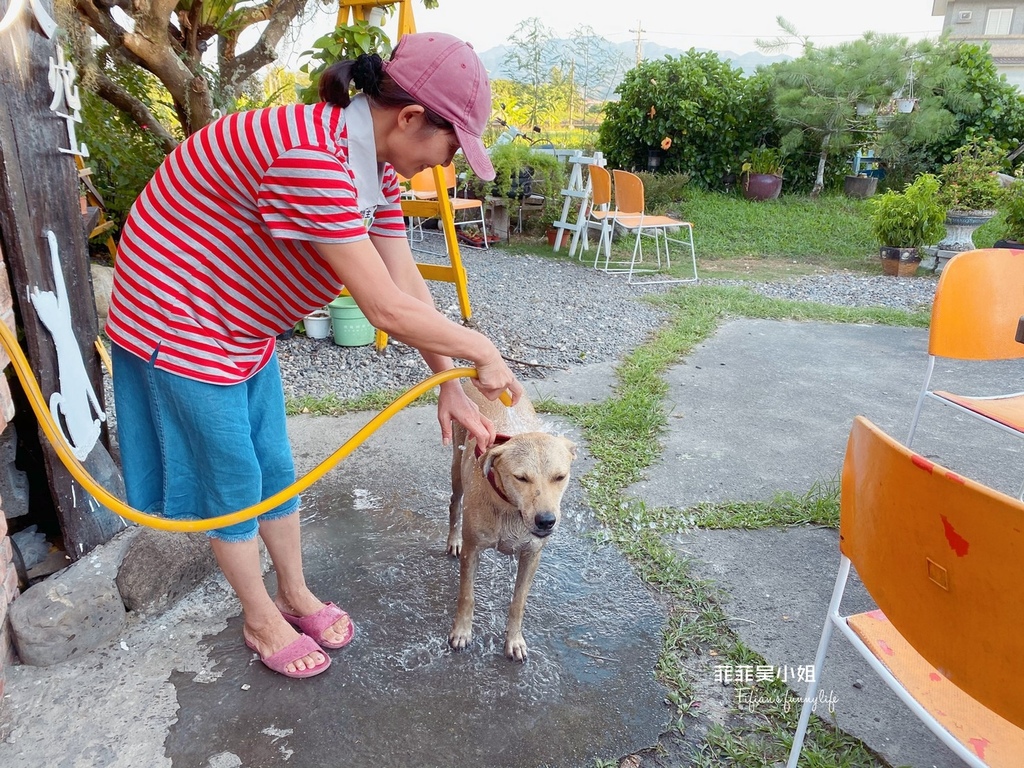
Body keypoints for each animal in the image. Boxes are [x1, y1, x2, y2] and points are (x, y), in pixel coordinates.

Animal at [446, 385, 577, 663]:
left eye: (560, 477)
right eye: (521, 477)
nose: (546, 521)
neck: (510, 508)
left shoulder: (532, 555)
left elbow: (518, 602)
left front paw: (514, 640)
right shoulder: (473, 550)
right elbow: (467, 595)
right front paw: (462, 631)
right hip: (456, 467)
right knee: (454, 503)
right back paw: (453, 540)